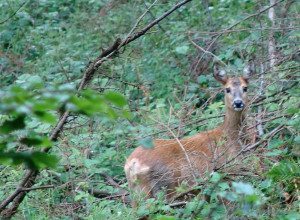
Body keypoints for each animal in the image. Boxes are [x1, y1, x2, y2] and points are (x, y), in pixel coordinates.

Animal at [124, 65, 253, 205]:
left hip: (137, 192)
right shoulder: (227, 174)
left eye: (245, 88)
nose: (238, 103)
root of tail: (132, 163)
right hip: (161, 188)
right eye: (227, 89)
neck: (230, 138)